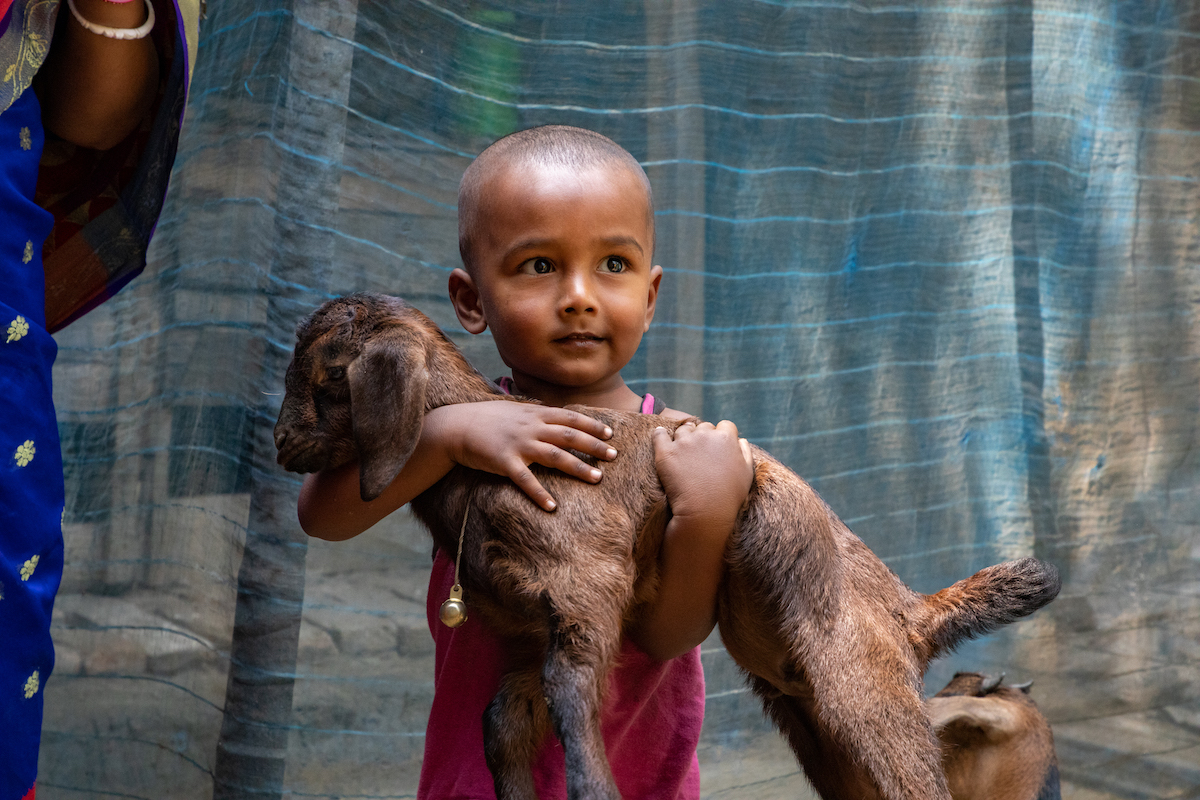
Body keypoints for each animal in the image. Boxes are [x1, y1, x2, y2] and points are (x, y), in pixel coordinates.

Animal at [272, 296, 1060, 800]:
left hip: (860, 685)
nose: (280, 443)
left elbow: (570, 695)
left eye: (326, 378)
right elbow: (505, 721)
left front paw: (594, 789)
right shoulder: (530, 633)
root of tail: (914, 609)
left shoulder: (588, 589)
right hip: (814, 725)